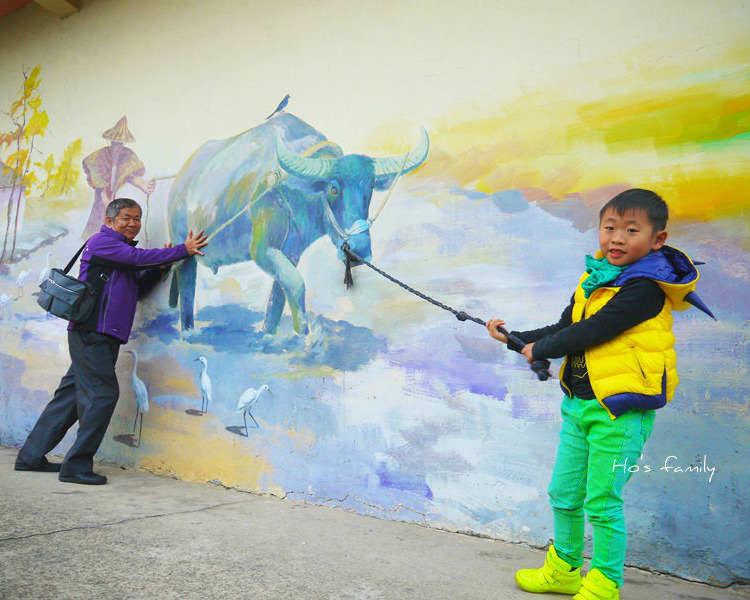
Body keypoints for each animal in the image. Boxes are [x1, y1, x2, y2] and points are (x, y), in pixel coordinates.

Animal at [168, 112, 432, 336]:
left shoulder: (291, 252)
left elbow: (278, 298)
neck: (296, 192)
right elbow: (296, 284)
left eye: (371, 185)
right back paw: (188, 331)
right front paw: (305, 336)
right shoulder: (262, 249)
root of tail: (181, 179)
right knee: (187, 288)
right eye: (333, 188)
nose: (359, 249)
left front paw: (269, 335)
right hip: (185, 251)